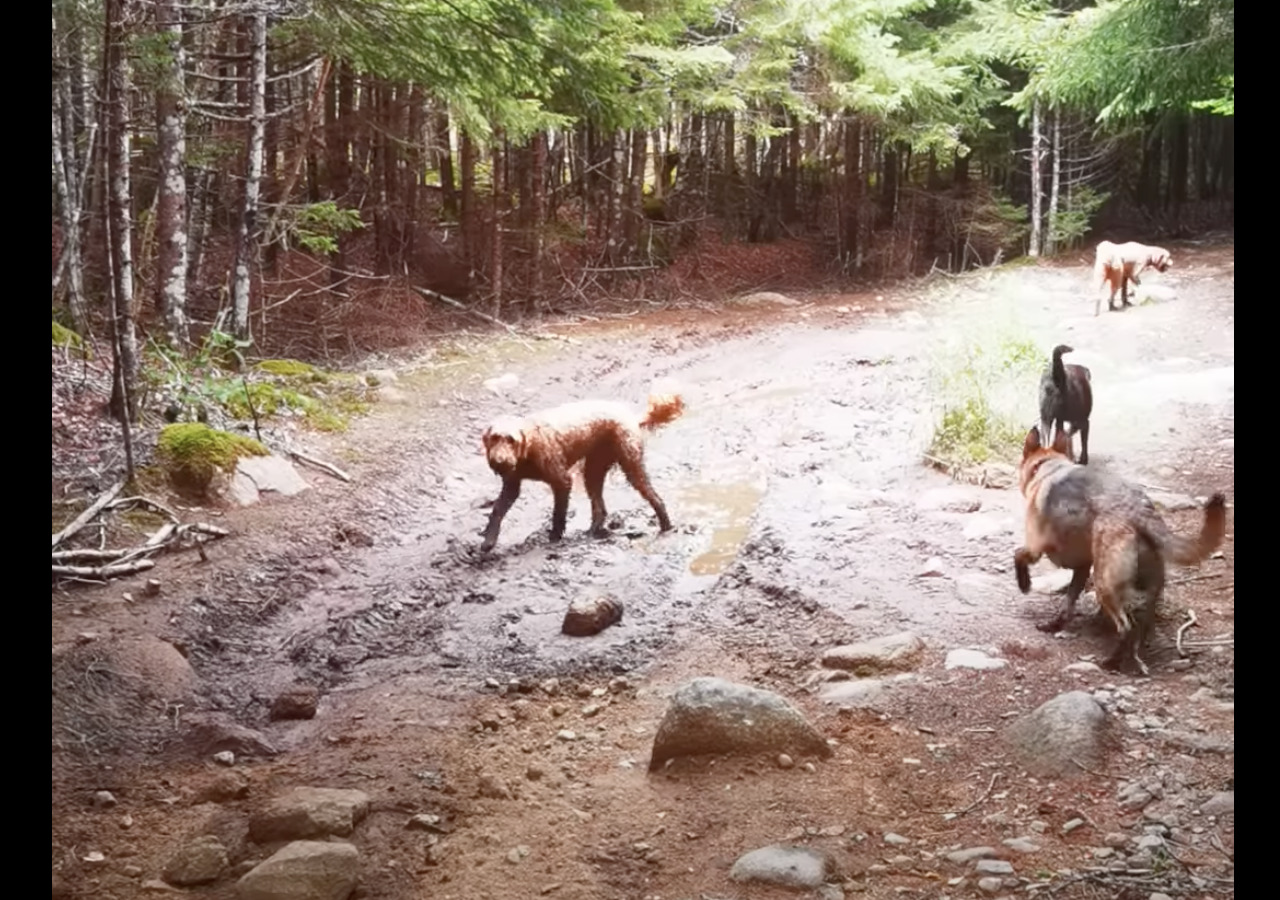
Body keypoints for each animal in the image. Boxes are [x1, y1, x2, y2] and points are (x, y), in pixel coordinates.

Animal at [481, 389, 686, 553]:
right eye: (494, 438)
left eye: (511, 440)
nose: (499, 461)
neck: (528, 450)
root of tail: (631, 418)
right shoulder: (511, 485)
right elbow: (497, 511)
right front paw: (489, 541)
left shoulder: (562, 481)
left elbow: (558, 514)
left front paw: (554, 537)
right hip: (593, 471)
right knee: (600, 508)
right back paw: (592, 532)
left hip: (631, 467)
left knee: (655, 498)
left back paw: (666, 526)